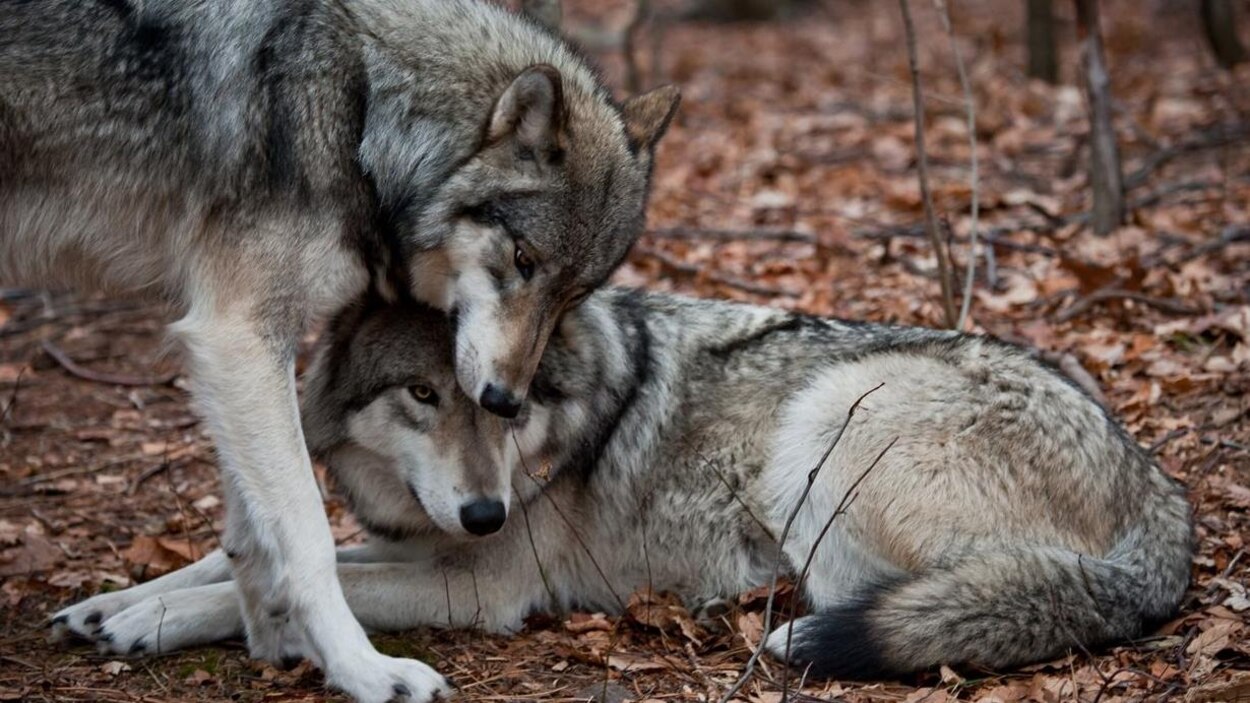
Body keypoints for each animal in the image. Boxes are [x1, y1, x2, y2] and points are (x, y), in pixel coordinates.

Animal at [4, 1, 680, 695]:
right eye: (523, 260)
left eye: (575, 294)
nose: (504, 400)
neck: (360, 108)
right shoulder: (238, 331)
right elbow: (308, 534)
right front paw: (362, 669)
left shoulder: (240, 351)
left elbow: (249, 535)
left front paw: (264, 637)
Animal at [56, 287, 1190, 675]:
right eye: (423, 394)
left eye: (503, 400)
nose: (485, 511)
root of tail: (1162, 497)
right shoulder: (410, 537)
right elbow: (242, 559)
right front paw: (110, 603)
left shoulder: (480, 585)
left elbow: (301, 584)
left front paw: (147, 624)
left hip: (827, 420)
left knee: (861, 599)